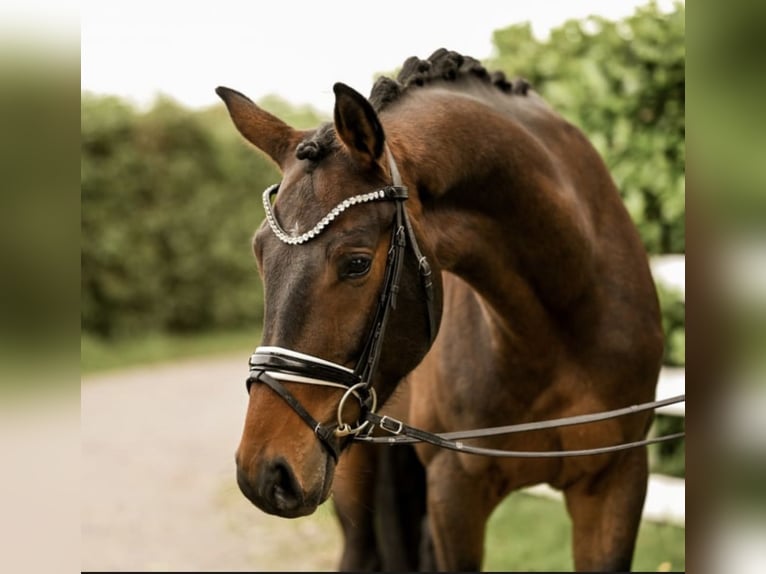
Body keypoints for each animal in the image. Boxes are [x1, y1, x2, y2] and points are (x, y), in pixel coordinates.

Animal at [216, 48, 664, 572]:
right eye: (259, 254)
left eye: (356, 263)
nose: (265, 471)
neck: (560, 329)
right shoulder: (455, 488)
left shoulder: (617, 481)